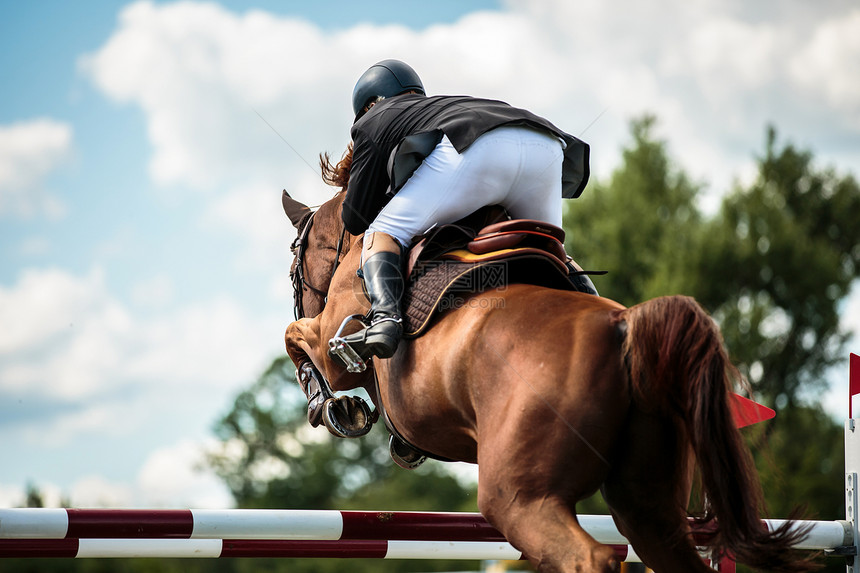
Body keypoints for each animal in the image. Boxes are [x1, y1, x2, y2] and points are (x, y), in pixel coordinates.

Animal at [282, 189, 812, 572]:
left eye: (293, 267)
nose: (301, 291)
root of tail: (625, 326)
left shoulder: (335, 344)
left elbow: (296, 336)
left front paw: (333, 408)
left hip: (520, 498)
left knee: (588, 557)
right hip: (647, 503)